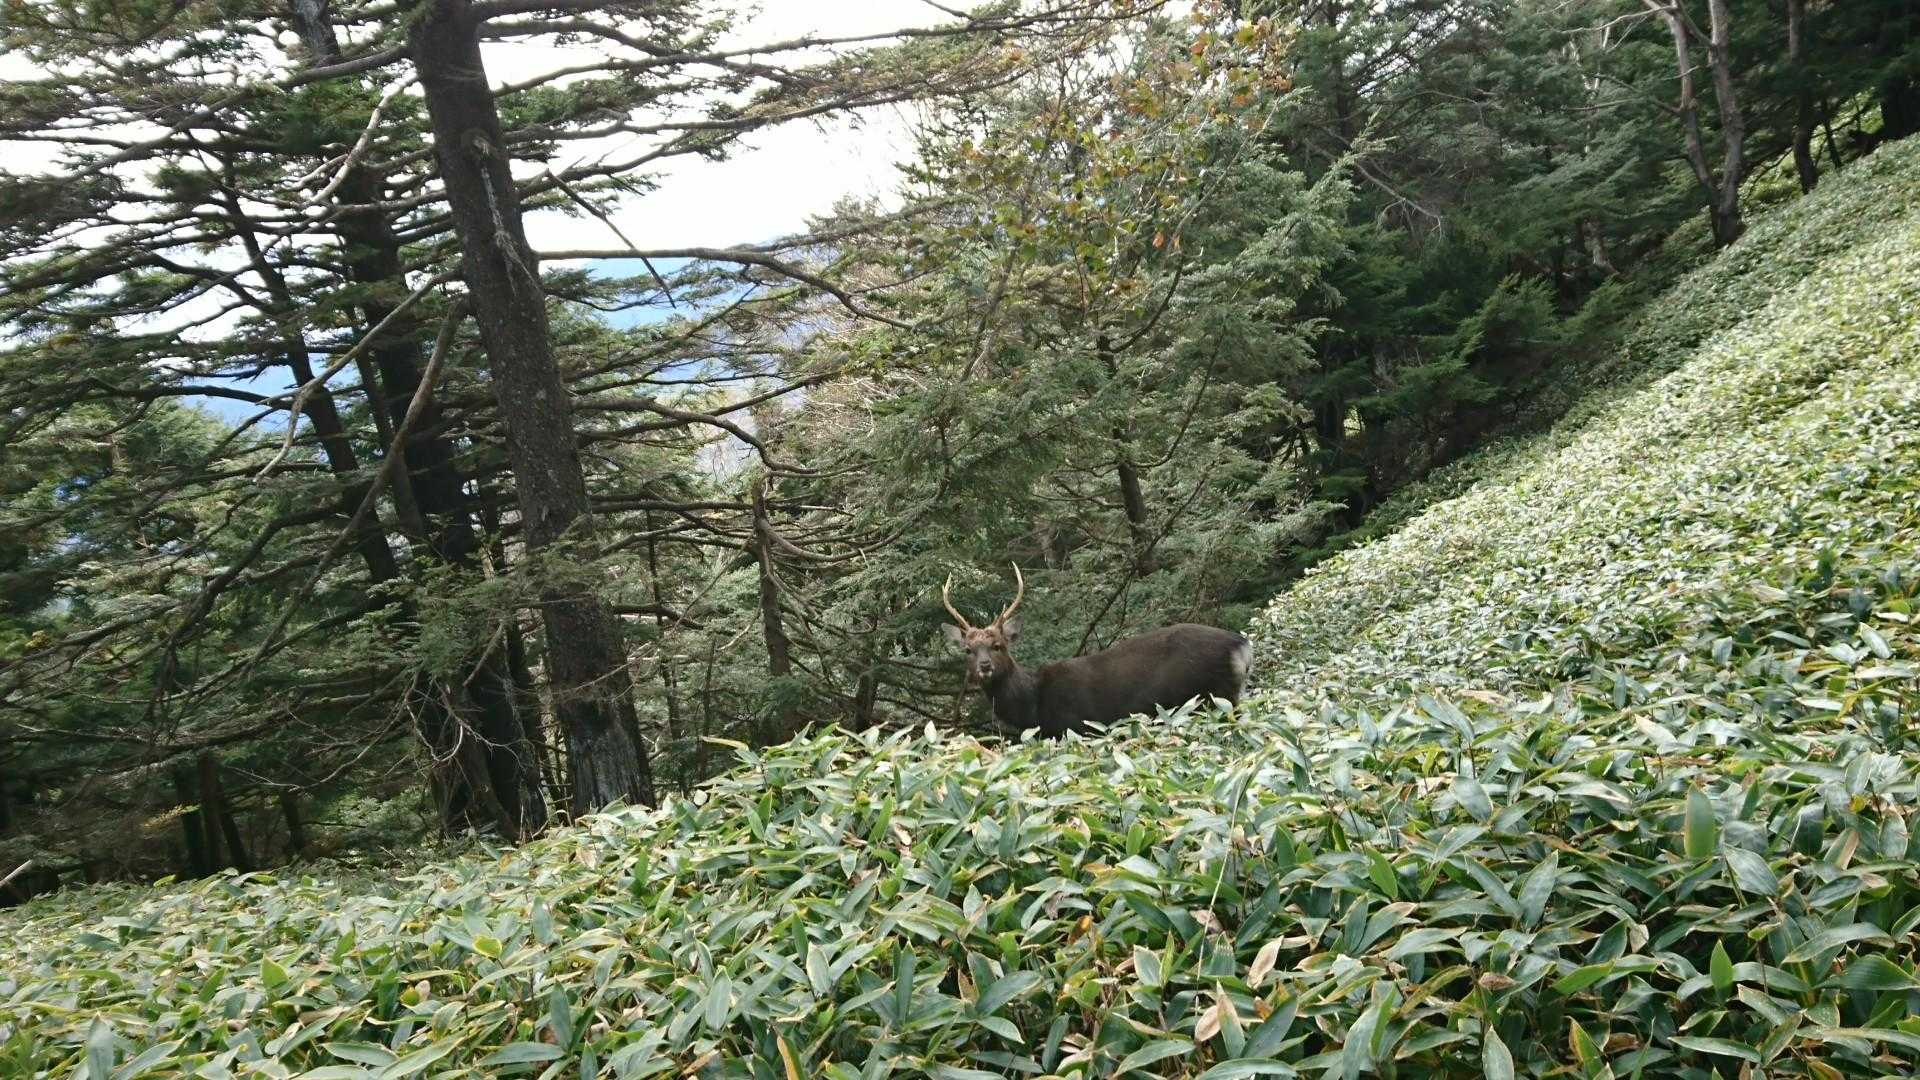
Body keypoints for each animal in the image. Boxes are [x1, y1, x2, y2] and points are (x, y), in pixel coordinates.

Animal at [940, 565, 1253, 737]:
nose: (984, 666)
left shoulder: (1077, 728)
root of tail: (1241, 646)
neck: (1034, 705)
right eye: (968, 650)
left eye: (998, 645)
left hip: (1212, 698)